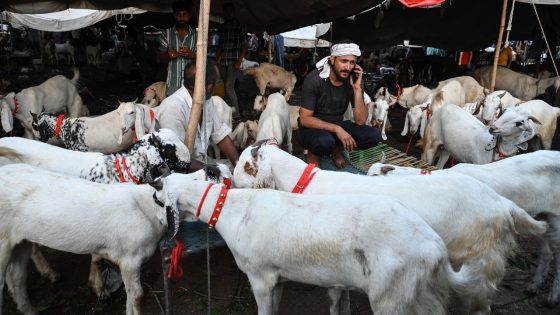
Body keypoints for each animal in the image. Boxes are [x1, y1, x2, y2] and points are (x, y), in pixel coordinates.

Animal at [153, 173, 482, 315]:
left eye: (159, 192)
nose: (153, 191)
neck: (231, 210)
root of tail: (434, 246)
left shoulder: (260, 277)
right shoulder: (277, 278)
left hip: (392, 296)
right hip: (425, 292)